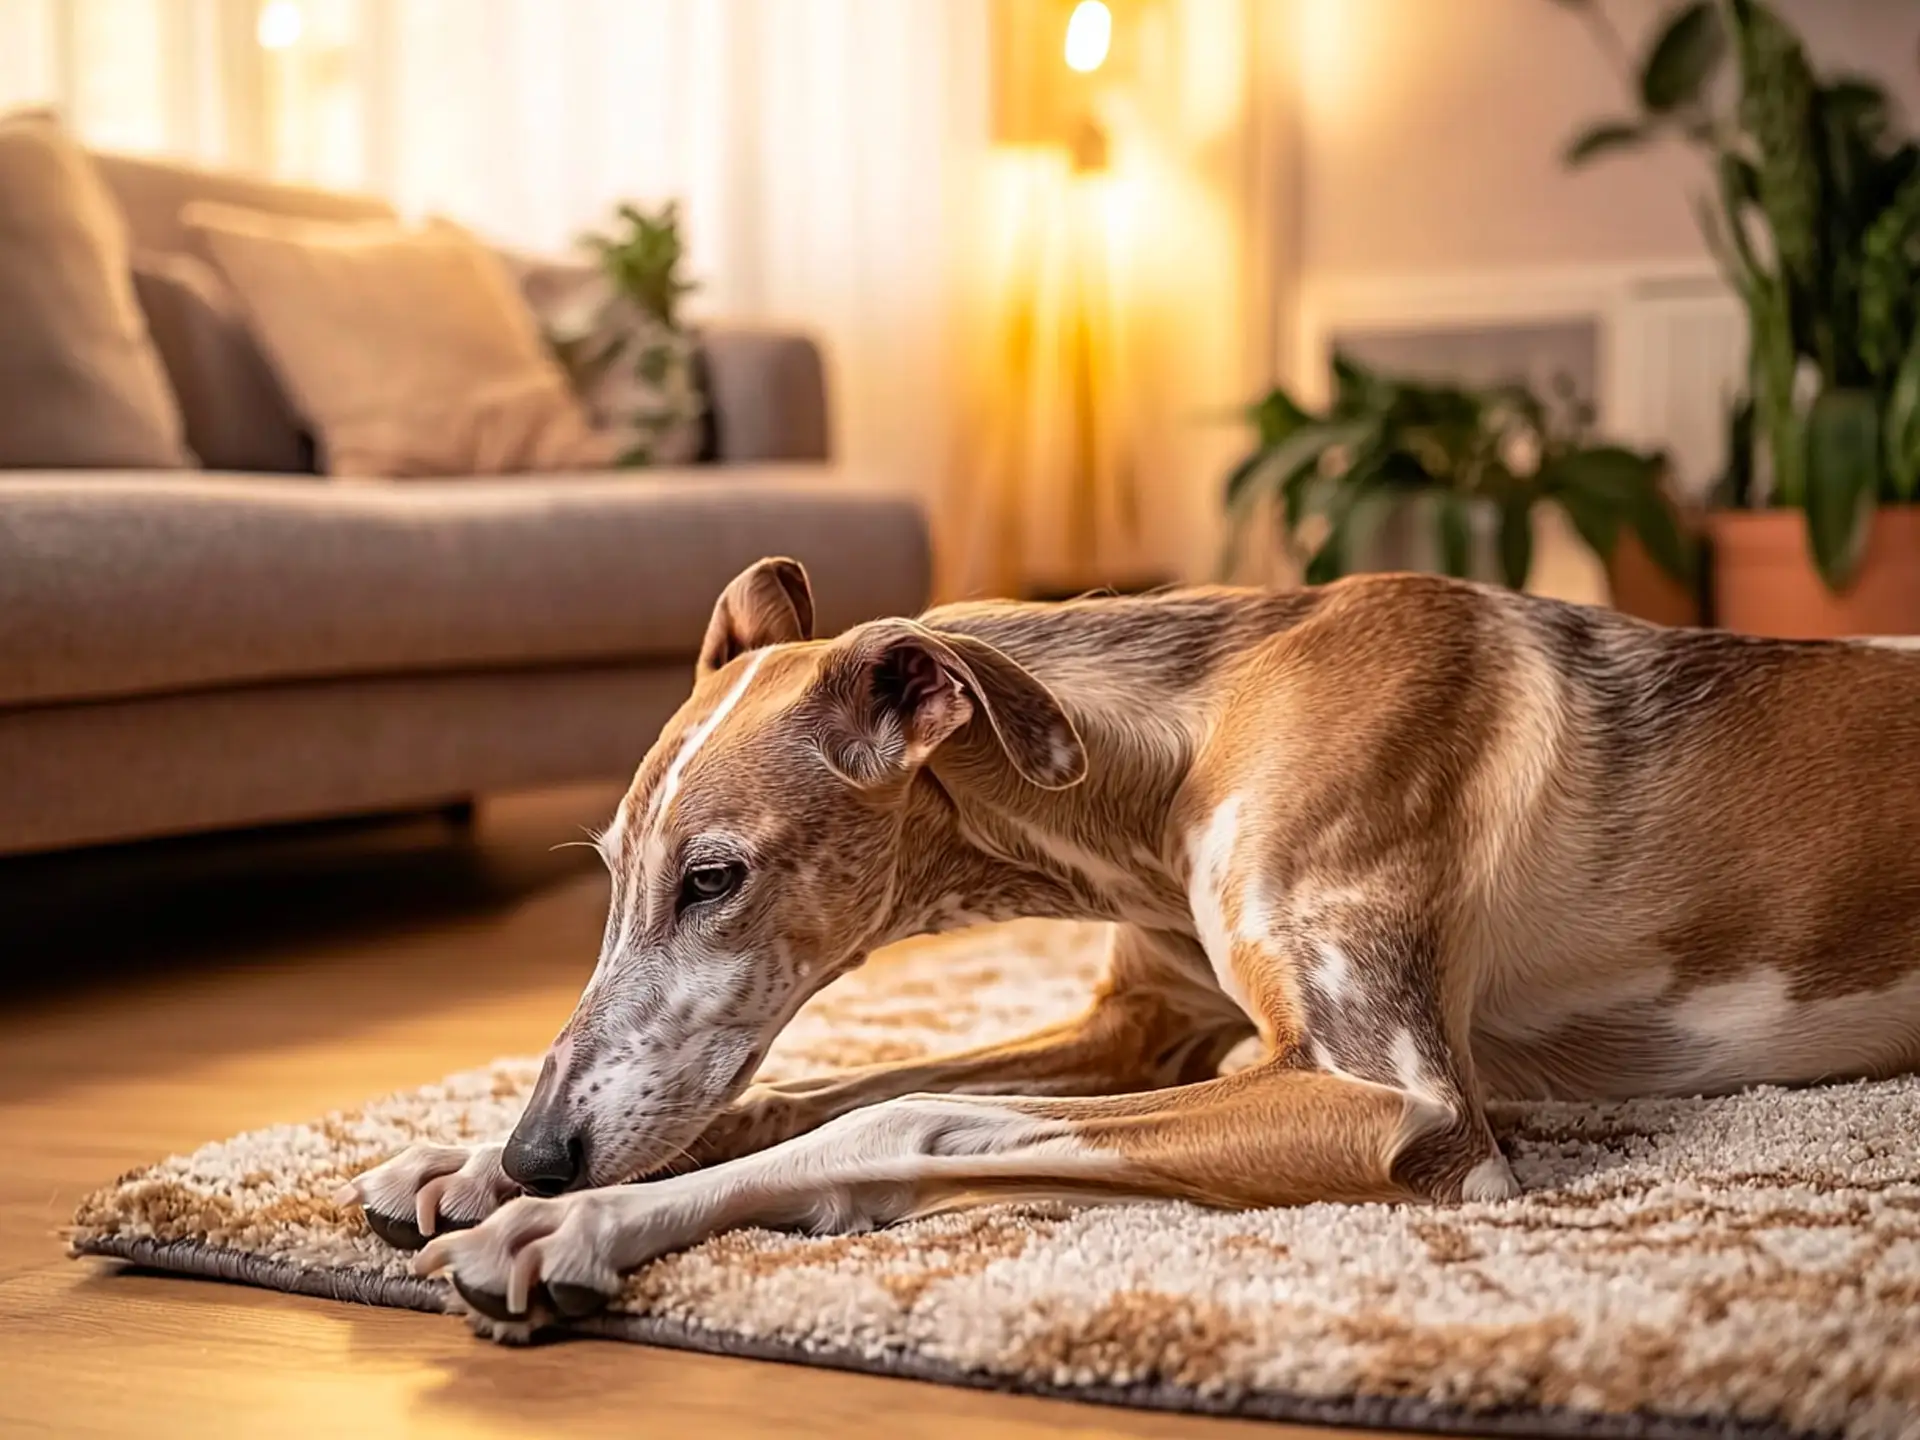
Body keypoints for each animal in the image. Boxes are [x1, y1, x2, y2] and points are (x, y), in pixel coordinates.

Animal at [341, 556, 1920, 1351]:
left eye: (713, 879)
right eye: (613, 872)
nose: (544, 1149)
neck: (1187, 739)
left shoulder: (1400, 1106)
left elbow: (910, 1114)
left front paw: (568, 1223)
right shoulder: (1139, 1024)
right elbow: (814, 1094)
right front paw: (469, 1164)